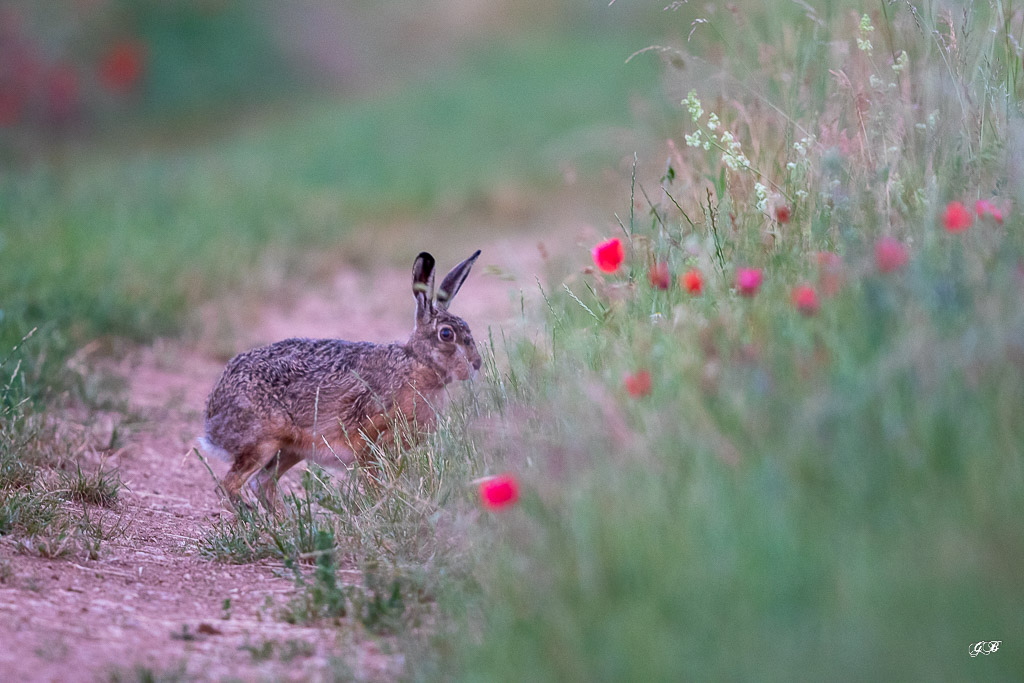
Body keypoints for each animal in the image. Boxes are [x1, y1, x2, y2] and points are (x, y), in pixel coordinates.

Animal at [198, 250, 482, 509]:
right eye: (446, 334)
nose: (477, 364)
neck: (417, 362)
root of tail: (213, 415)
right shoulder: (370, 443)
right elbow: (375, 484)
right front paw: (381, 509)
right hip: (263, 442)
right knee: (230, 485)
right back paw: (251, 515)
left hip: (290, 449)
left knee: (263, 483)